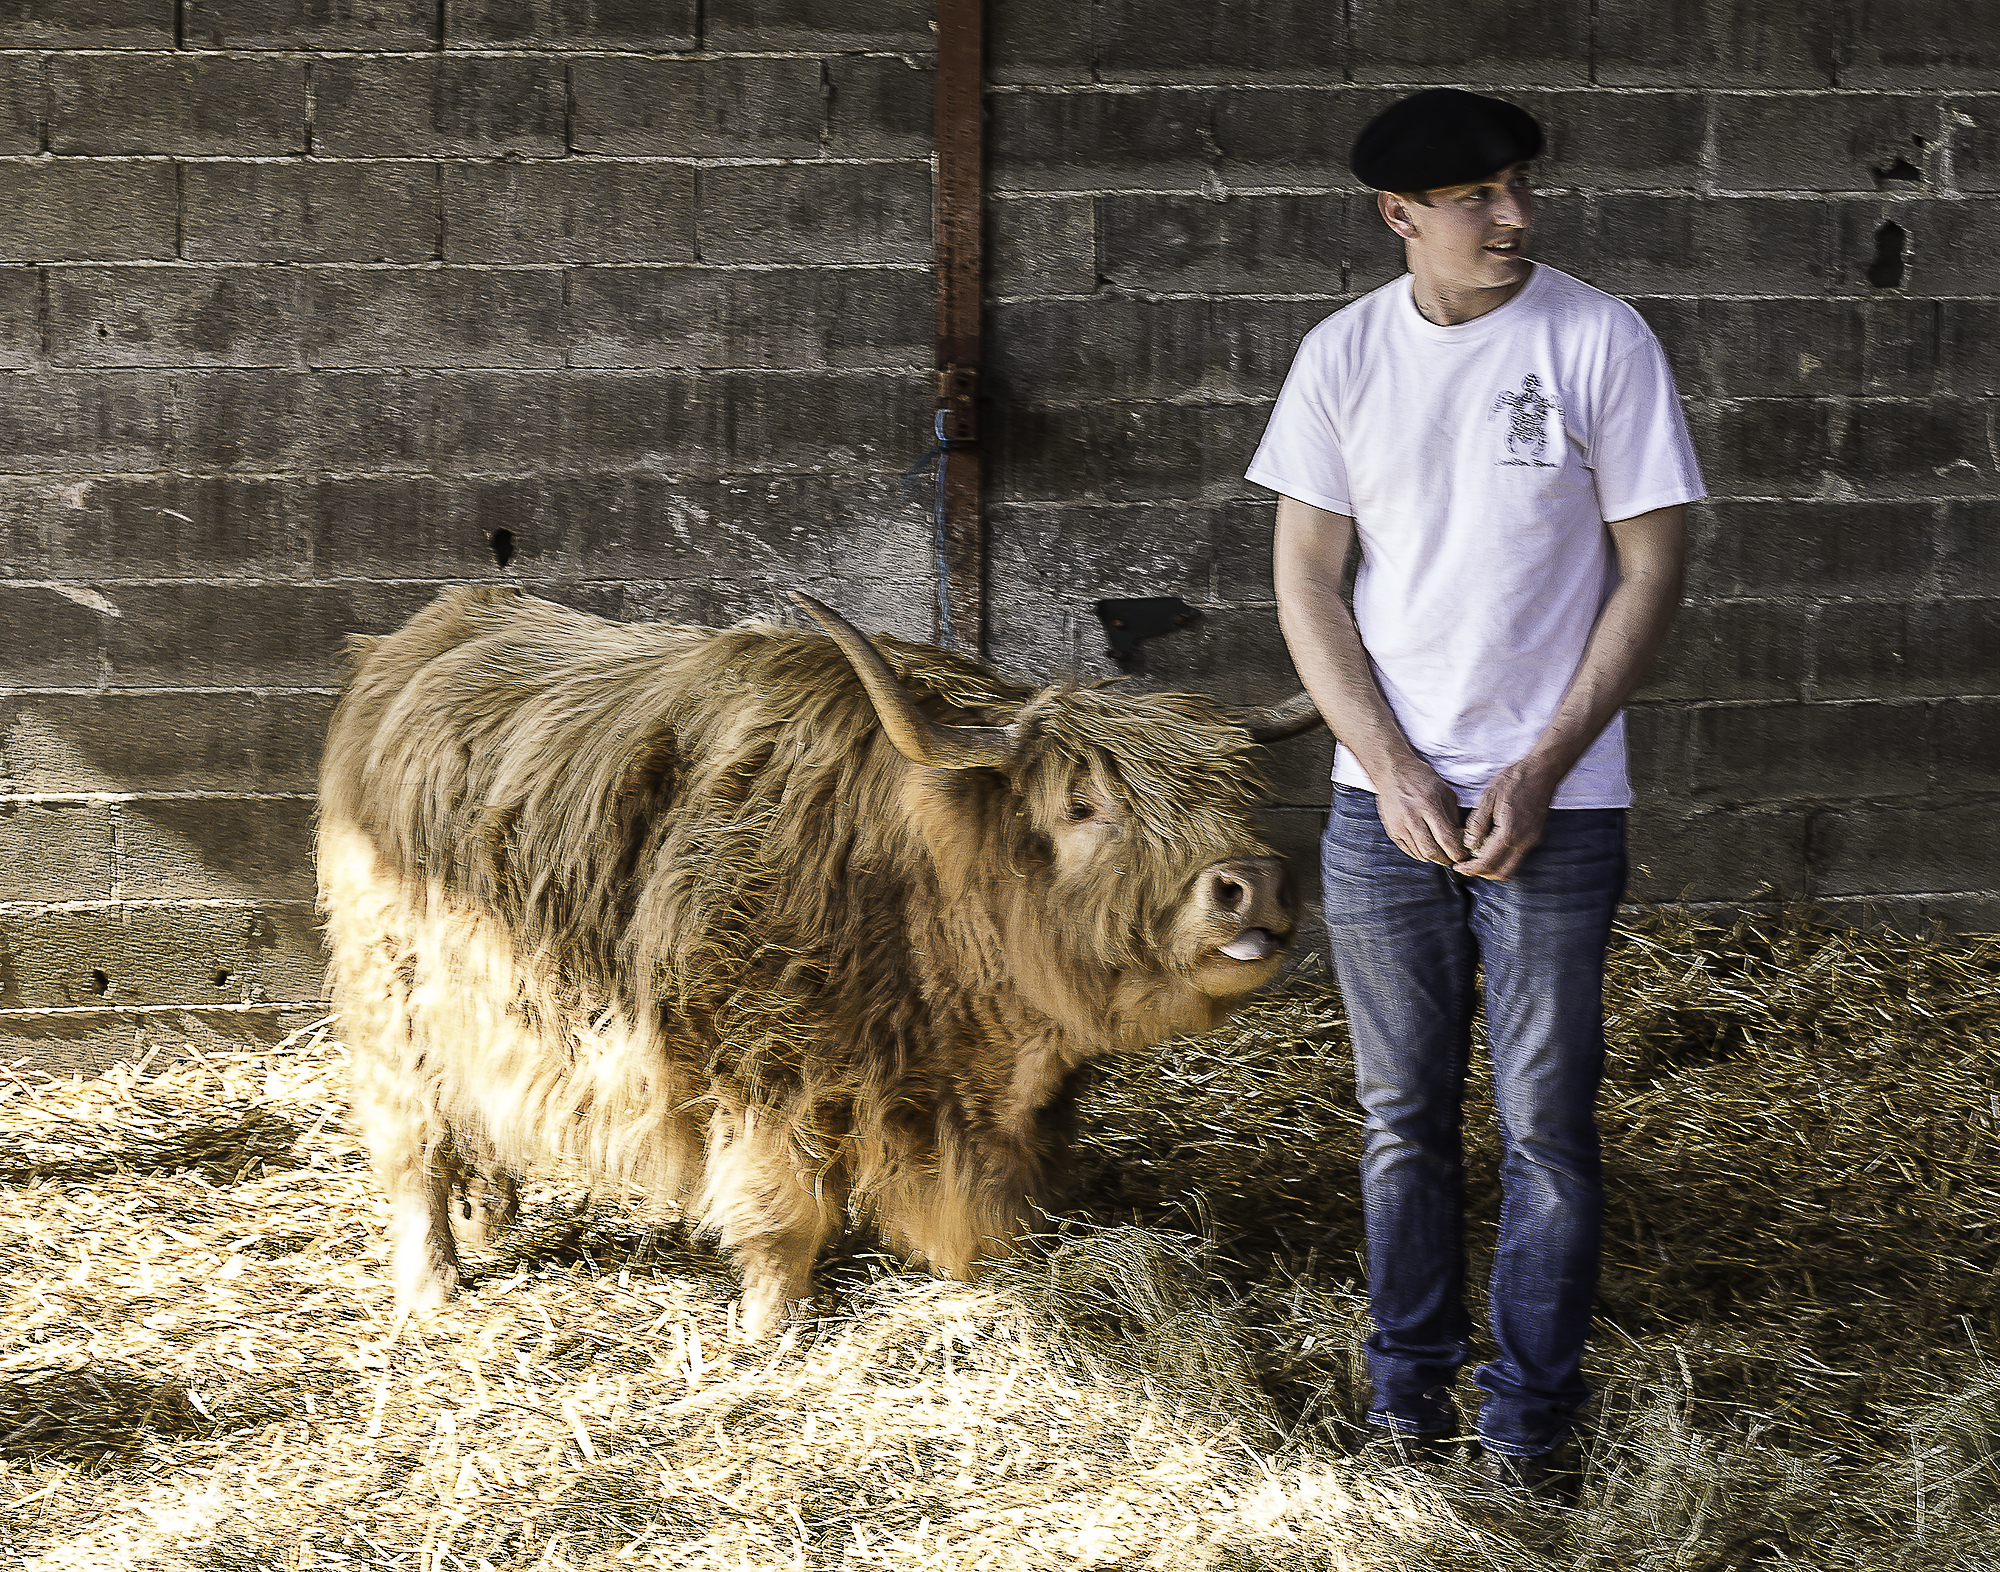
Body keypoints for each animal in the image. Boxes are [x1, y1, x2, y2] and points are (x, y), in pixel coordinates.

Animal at [317, 585, 1323, 1336]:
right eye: (1083, 805)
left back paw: (491, 1225)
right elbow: (782, 1216)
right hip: (391, 998)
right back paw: (431, 1290)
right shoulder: (762, 1071)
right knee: (413, 1144)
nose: (1255, 884)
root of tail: (420, 634)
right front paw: (775, 1329)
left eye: (1234, 794)